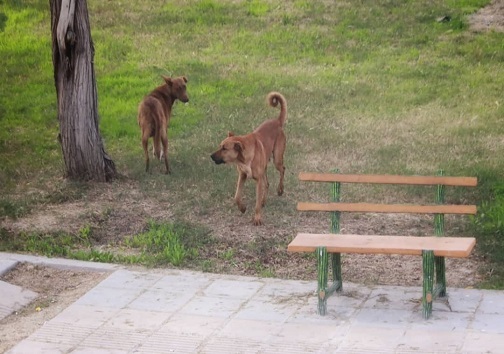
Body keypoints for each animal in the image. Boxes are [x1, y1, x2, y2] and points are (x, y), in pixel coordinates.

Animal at [210, 91, 288, 224]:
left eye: (224, 148)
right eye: (220, 146)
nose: (211, 156)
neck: (243, 159)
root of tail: (277, 121)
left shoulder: (258, 180)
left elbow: (256, 203)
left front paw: (257, 218)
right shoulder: (242, 176)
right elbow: (237, 196)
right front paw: (242, 208)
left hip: (277, 159)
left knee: (282, 169)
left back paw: (280, 190)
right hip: (265, 166)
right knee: (267, 183)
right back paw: (264, 201)